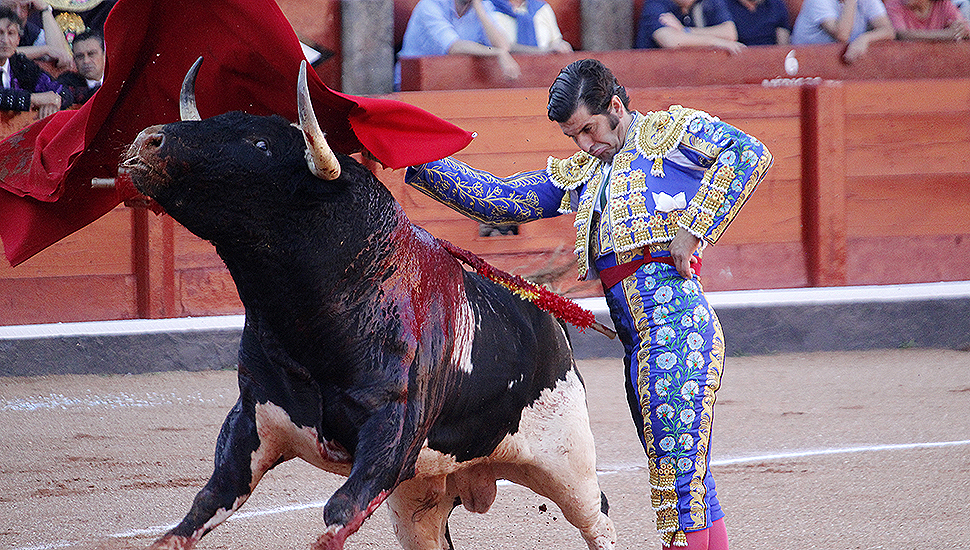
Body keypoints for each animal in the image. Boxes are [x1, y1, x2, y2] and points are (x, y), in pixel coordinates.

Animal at [123, 60, 617, 550]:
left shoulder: (392, 432)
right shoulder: (252, 419)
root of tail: (546, 312)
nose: (147, 139)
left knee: (598, 517)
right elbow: (204, 504)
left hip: (567, 462)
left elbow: (339, 511)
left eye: (260, 144)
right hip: (419, 497)